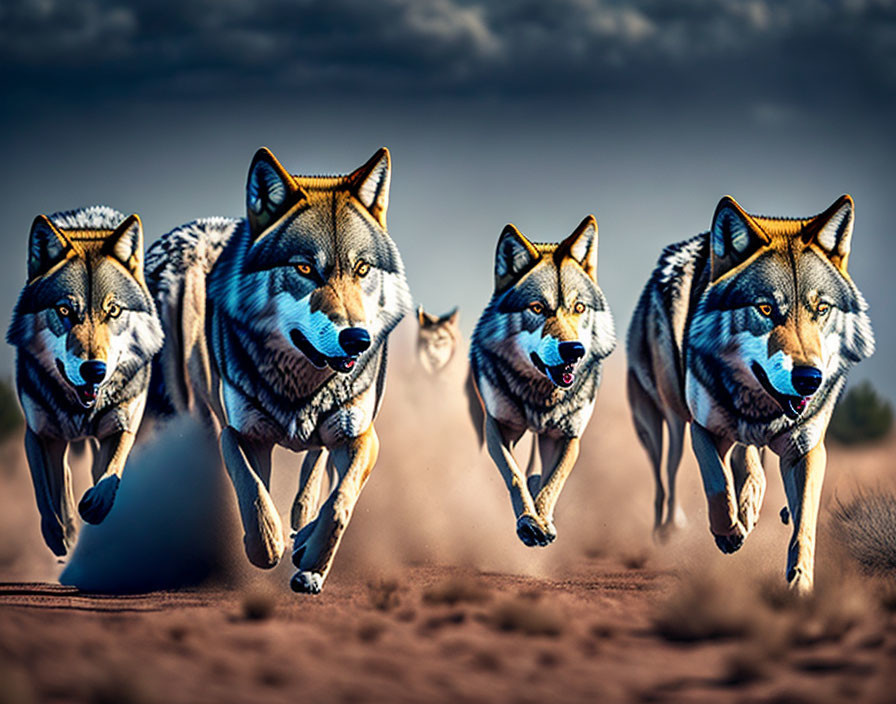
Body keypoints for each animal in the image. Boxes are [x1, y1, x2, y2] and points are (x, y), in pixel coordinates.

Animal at [6, 206, 164, 560]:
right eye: (64, 309)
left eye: (113, 310)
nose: (94, 370)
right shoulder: (38, 434)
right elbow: (46, 493)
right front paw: (60, 534)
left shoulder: (122, 424)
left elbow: (111, 472)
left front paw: (96, 506)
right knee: (63, 477)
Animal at [146, 147, 412, 592]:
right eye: (304, 268)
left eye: (361, 269)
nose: (356, 339)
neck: (301, 387)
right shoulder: (241, 434)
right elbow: (254, 491)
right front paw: (267, 546)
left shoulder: (361, 437)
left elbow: (338, 504)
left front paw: (311, 561)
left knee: (318, 472)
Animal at [468, 217, 616, 548]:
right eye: (537, 308)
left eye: (579, 308)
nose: (574, 350)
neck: (541, 397)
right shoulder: (498, 426)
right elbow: (514, 475)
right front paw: (528, 522)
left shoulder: (567, 435)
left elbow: (554, 479)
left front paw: (542, 519)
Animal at [628, 194, 872, 592]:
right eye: (766, 308)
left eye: (821, 309)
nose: (809, 379)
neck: (762, 409)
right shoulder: (702, 429)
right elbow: (716, 483)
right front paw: (728, 532)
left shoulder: (807, 450)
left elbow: (805, 523)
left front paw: (800, 582)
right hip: (668, 422)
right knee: (668, 478)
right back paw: (672, 527)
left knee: (748, 461)